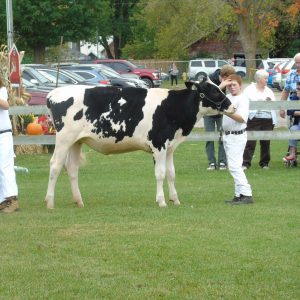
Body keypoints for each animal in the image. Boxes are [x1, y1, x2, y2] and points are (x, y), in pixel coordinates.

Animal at [45, 79, 236, 209]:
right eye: (215, 92)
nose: (232, 106)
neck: (172, 107)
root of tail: (53, 94)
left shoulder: (169, 147)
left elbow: (171, 173)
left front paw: (175, 199)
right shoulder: (158, 144)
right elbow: (160, 173)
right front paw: (161, 201)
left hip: (76, 141)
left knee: (72, 168)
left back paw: (79, 201)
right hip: (64, 139)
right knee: (55, 165)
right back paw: (49, 202)